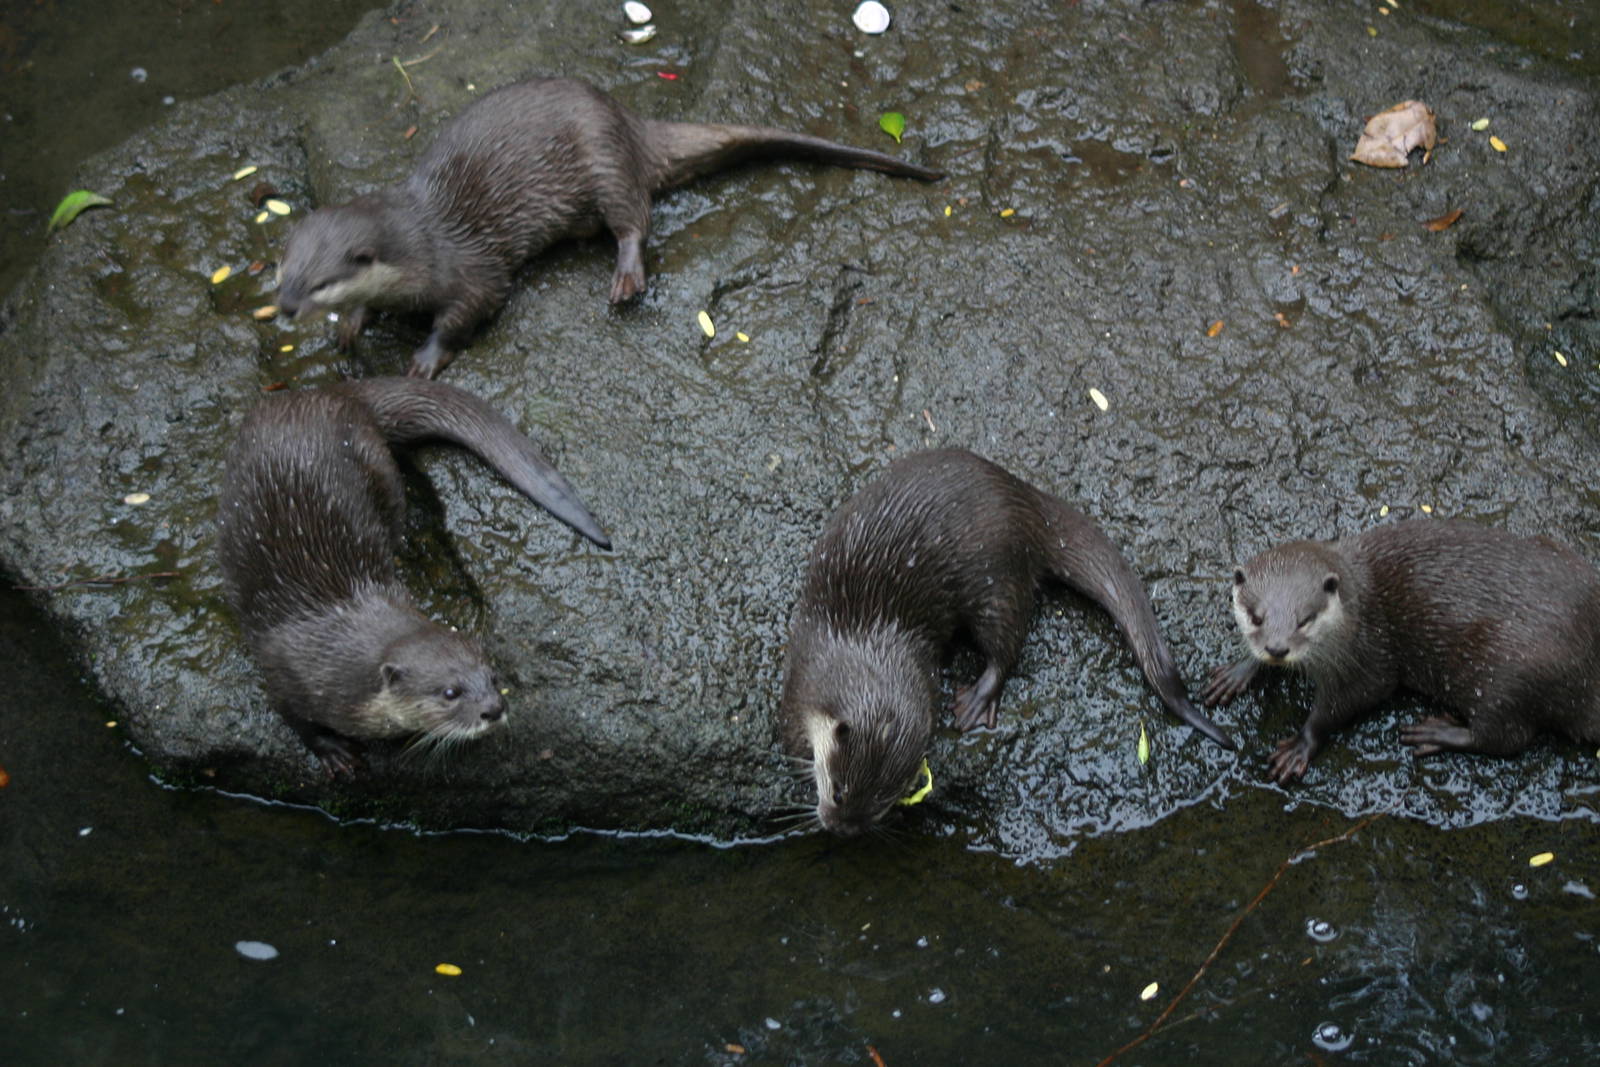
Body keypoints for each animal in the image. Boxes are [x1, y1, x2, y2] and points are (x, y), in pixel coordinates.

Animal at [217, 376, 610, 775]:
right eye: (450, 692)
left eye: (493, 677)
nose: (493, 708)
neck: (337, 643)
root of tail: (333, 394)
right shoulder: (285, 674)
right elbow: (294, 718)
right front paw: (332, 751)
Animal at [276, 77, 944, 378]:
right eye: (285, 271)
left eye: (319, 282)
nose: (283, 308)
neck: (424, 240)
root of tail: (629, 121)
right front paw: (351, 327)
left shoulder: (473, 269)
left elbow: (470, 309)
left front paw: (425, 357)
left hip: (604, 162)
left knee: (633, 220)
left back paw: (626, 280)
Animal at [779, 449, 1236, 836]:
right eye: (839, 792)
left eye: (882, 803)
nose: (841, 829)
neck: (863, 641)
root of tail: (1023, 499)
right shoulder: (802, 666)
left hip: (996, 577)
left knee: (1007, 644)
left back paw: (977, 700)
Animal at [1202, 519, 1600, 784]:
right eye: (1256, 616)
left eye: (1305, 619)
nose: (1277, 647)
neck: (1358, 605)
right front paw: (1240, 670)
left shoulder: (1369, 655)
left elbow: (1347, 702)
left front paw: (1301, 744)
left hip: (1508, 676)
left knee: (1505, 738)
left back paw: (1438, 732)